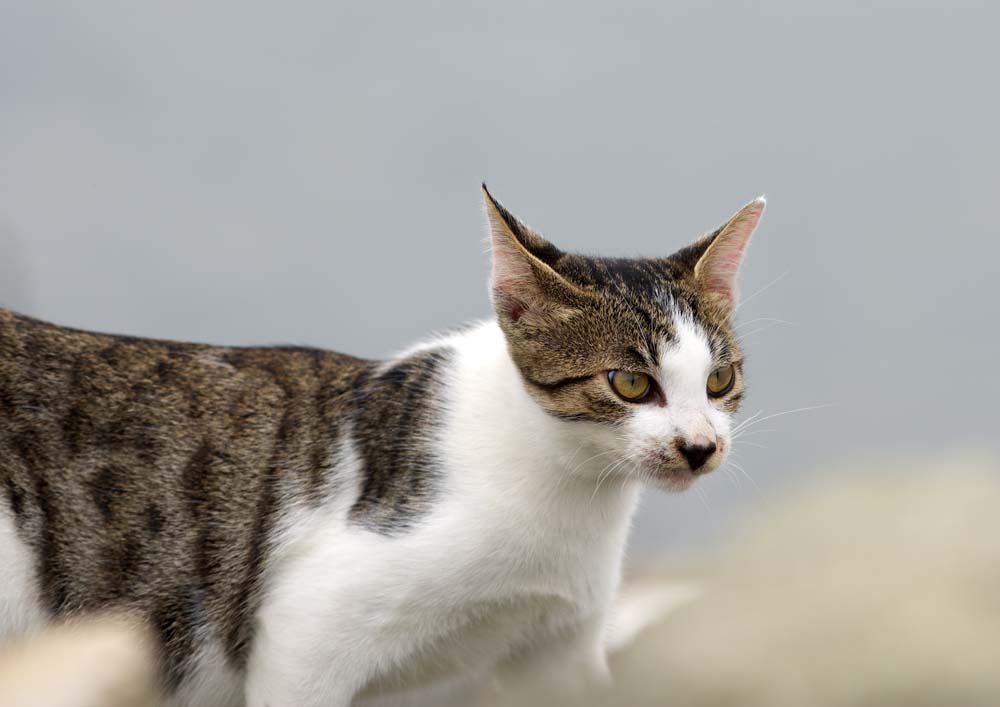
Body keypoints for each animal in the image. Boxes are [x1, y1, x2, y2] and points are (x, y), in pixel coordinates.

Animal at [0, 185, 764, 704]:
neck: (570, 488)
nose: (700, 446)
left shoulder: (558, 653)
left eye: (720, 379)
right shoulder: (307, 631)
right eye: (630, 382)